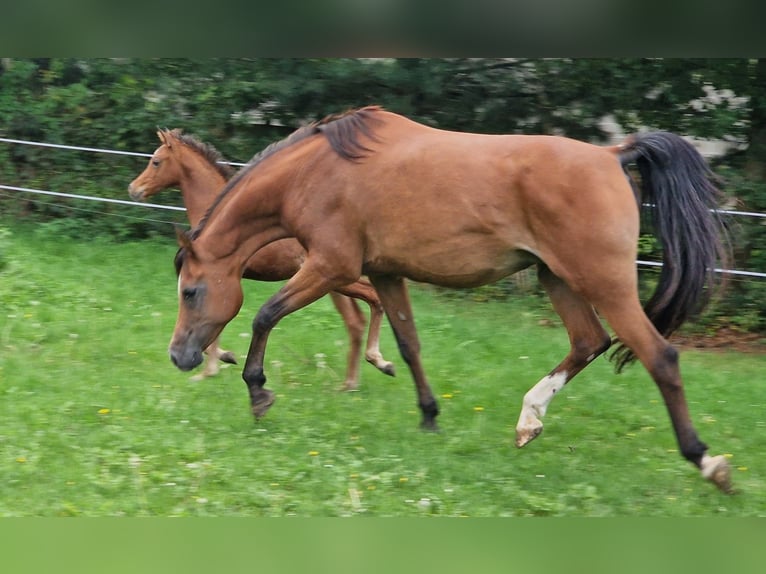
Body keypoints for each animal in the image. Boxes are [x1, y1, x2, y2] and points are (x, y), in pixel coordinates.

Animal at [129, 130, 392, 392]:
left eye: (156, 161)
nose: (134, 189)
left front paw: (213, 367)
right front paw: (222, 359)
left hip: (334, 281)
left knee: (365, 307)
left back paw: (371, 367)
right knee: (358, 318)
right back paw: (354, 380)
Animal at [171, 106, 736, 492]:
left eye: (191, 290)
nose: (179, 356)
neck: (316, 171)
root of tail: (611, 155)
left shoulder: (331, 267)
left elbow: (265, 315)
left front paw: (258, 392)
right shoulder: (385, 273)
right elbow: (408, 345)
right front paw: (428, 416)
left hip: (603, 282)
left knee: (659, 355)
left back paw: (707, 462)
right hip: (557, 277)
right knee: (588, 342)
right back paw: (528, 420)